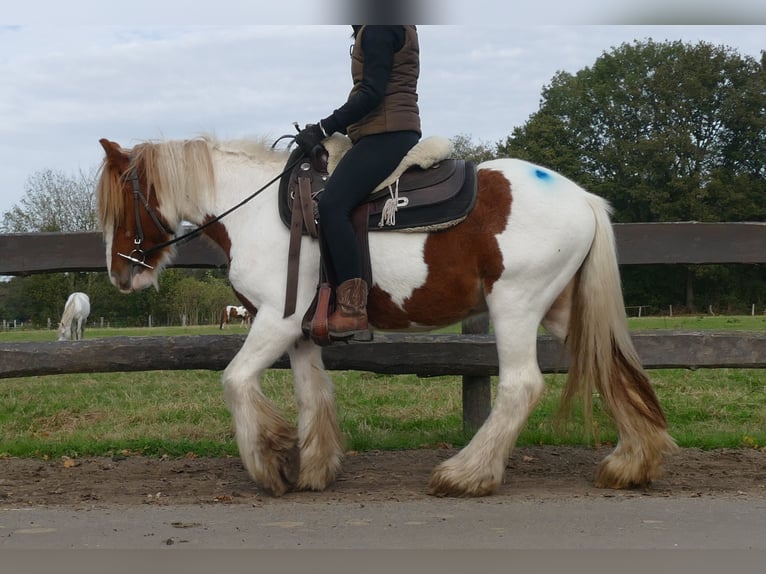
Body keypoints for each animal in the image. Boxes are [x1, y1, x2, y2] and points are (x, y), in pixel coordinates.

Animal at [96, 136, 680, 500]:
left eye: (123, 204)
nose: (120, 276)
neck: (259, 211)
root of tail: (582, 197)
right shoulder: (300, 334)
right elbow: (312, 394)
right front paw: (313, 467)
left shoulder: (275, 322)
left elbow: (236, 381)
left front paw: (270, 461)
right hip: (562, 310)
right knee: (611, 368)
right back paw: (632, 464)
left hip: (515, 305)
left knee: (521, 386)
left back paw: (466, 475)